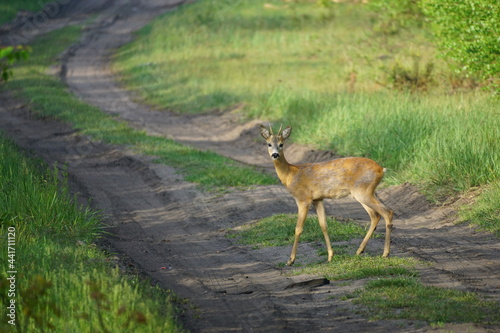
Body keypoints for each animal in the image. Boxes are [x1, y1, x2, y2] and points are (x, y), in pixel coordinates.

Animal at [260, 124, 392, 264]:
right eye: (269, 144)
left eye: (281, 144)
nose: (275, 154)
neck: (291, 174)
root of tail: (381, 169)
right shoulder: (318, 199)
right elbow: (323, 225)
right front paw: (330, 256)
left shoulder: (303, 198)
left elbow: (298, 228)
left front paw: (291, 260)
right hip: (365, 192)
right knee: (375, 216)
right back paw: (359, 251)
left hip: (363, 191)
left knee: (387, 212)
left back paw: (385, 253)